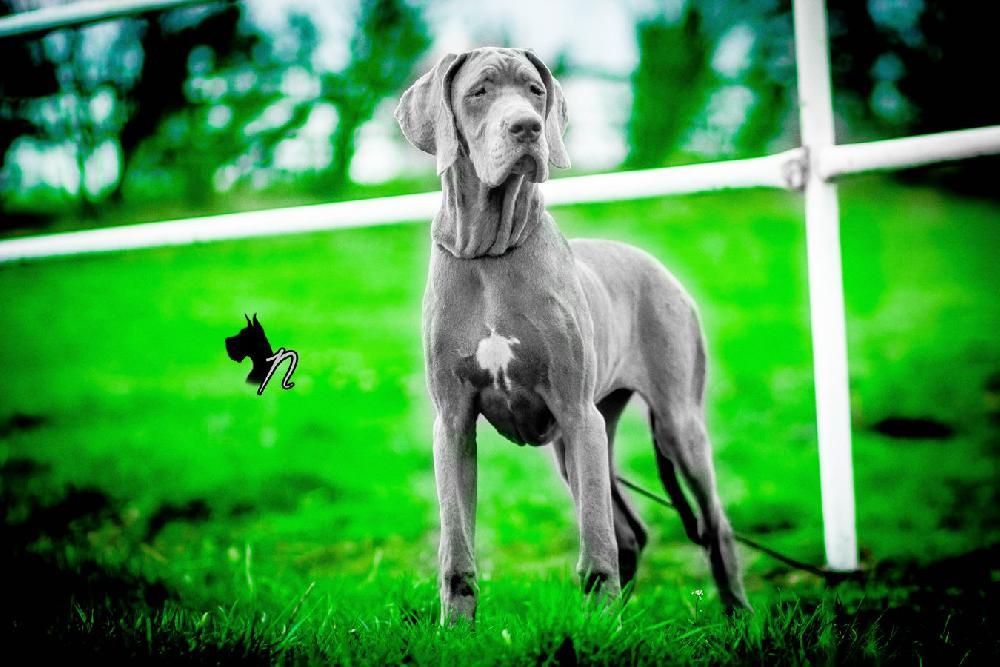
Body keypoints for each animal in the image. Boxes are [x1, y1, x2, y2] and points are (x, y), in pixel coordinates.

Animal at [395, 47, 750, 624]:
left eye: (535, 90)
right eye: (478, 92)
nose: (527, 127)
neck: (489, 252)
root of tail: (661, 269)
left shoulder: (578, 413)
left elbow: (595, 538)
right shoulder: (453, 423)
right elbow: (456, 546)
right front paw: (455, 629)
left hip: (668, 425)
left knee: (711, 524)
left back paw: (734, 614)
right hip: (580, 438)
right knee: (631, 532)